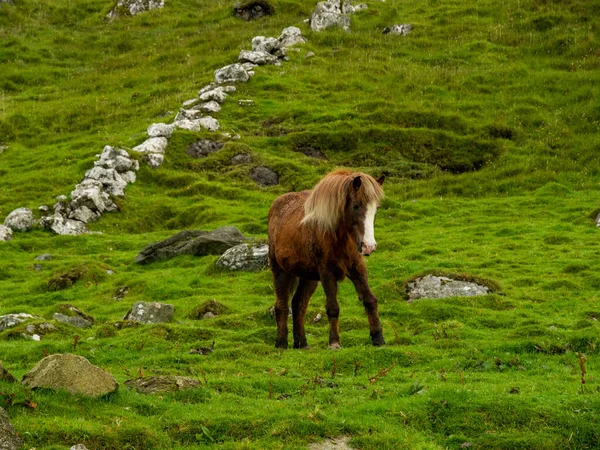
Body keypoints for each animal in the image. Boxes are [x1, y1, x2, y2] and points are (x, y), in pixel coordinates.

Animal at [266, 169, 384, 348]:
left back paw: (301, 343)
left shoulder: (357, 267)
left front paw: (378, 338)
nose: (368, 246)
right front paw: (334, 342)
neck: (339, 236)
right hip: (280, 271)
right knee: (282, 305)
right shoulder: (327, 272)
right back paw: (281, 343)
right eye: (356, 206)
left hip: (308, 277)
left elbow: (370, 300)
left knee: (298, 304)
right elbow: (333, 307)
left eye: (375, 208)